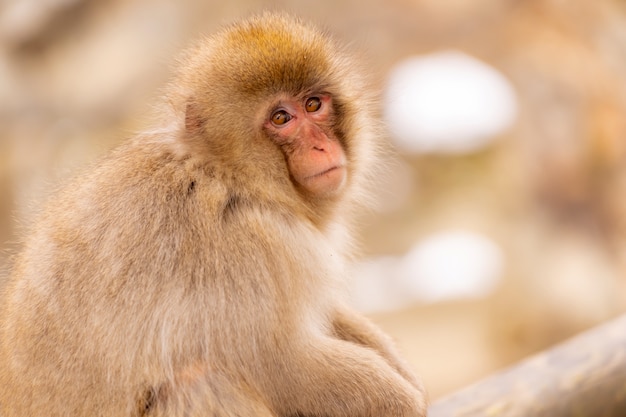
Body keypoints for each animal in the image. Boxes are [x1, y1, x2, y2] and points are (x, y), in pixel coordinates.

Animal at [0, 13, 424, 416]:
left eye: (314, 105)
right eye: (281, 118)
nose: (321, 147)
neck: (227, 175)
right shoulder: (245, 245)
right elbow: (280, 362)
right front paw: (404, 403)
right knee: (201, 384)